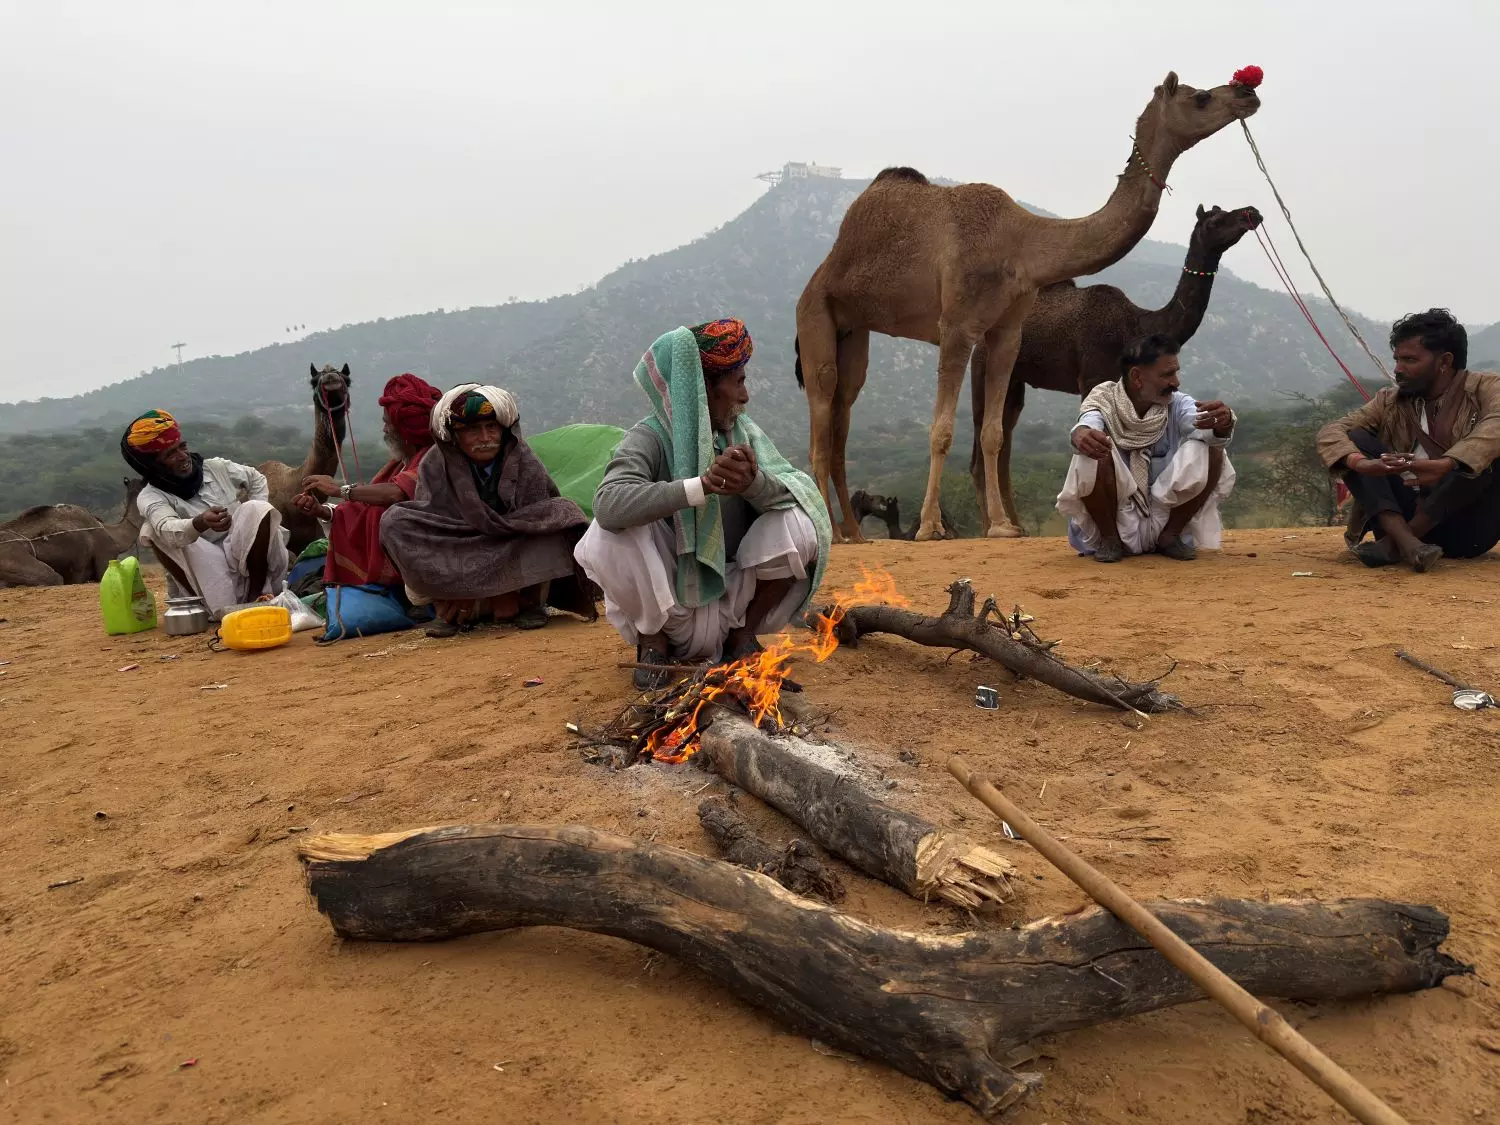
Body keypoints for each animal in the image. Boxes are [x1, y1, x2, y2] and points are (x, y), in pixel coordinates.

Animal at [968, 203, 1264, 529]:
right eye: (1215, 220)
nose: (1251, 212)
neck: (1138, 325)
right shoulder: (1091, 377)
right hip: (984, 367)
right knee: (982, 445)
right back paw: (993, 526)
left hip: (1014, 381)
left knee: (1003, 442)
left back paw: (1015, 525)